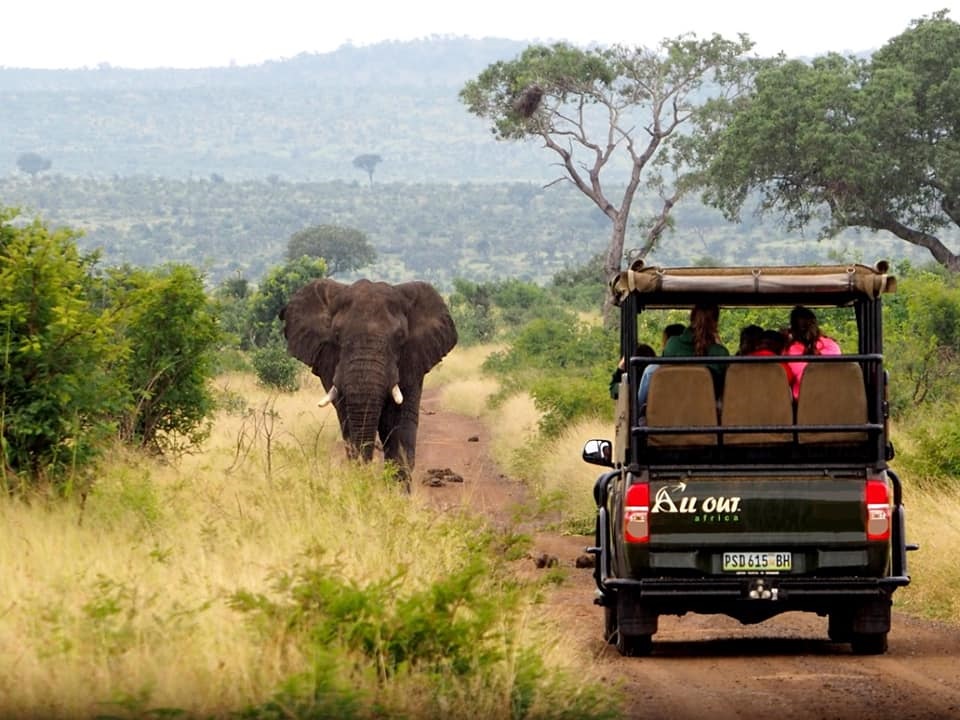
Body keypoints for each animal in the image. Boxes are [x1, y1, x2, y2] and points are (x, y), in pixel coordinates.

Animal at [278, 278, 458, 486]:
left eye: (400, 336)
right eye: (337, 334)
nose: (365, 477)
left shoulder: (414, 359)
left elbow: (399, 424)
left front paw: (396, 492)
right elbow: (348, 420)